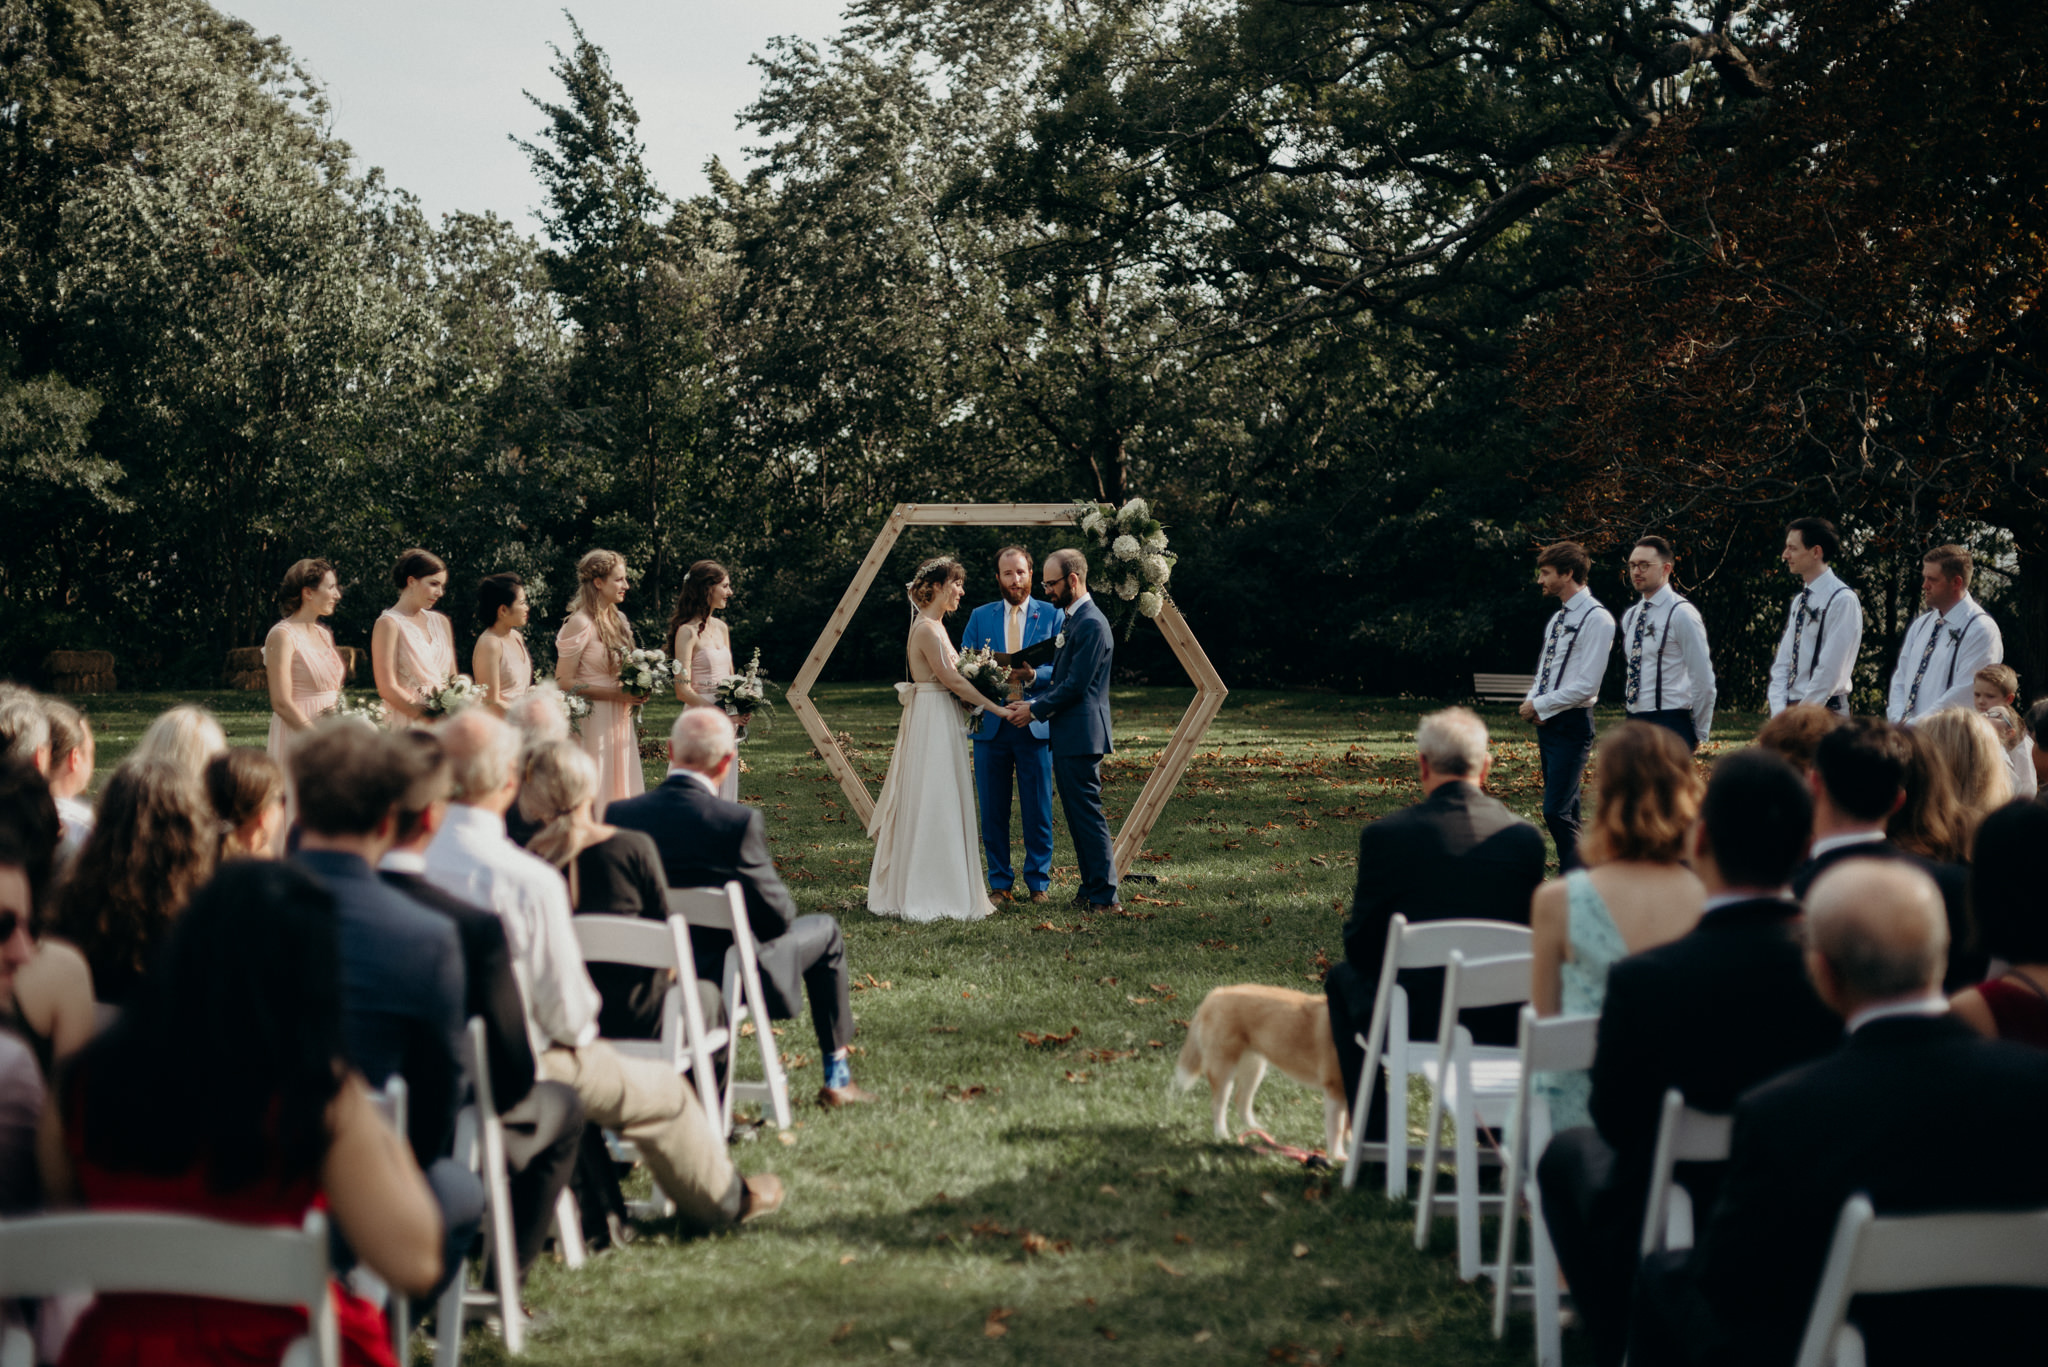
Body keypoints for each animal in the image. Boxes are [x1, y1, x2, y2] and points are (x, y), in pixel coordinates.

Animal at [1179, 983, 1351, 1164]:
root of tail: (1216, 993)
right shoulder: (1335, 1088)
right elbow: (1337, 1128)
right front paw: (1337, 1155)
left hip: (1255, 1068)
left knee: (1241, 1100)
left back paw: (1255, 1129)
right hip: (1224, 1069)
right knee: (1218, 1104)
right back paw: (1222, 1134)